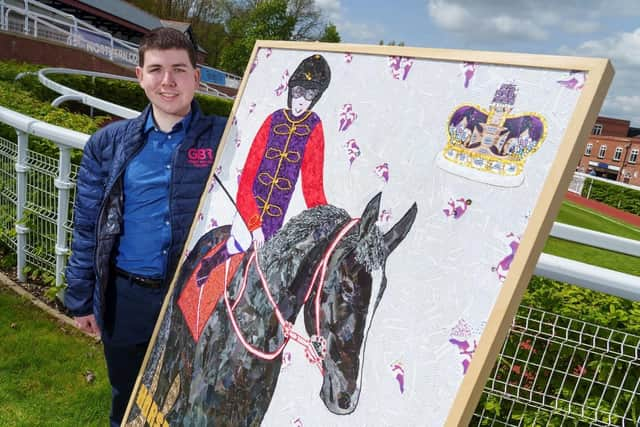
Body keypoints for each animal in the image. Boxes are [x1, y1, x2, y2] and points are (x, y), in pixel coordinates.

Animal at [127, 195, 418, 427]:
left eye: (381, 294)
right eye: (347, 286)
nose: (346, 398)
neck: (254, 321)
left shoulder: (248, 414)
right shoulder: (200, 406)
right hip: (176, 347)